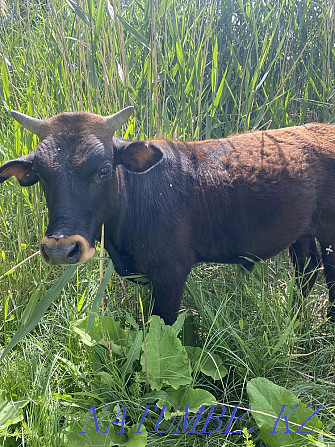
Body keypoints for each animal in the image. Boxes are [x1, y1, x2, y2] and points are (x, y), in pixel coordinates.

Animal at [0, 110, 335, 324]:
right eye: (41, 175)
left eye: (104, 170)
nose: (60, 249)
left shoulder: (171, 272)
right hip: (301, 232)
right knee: (307, 270)